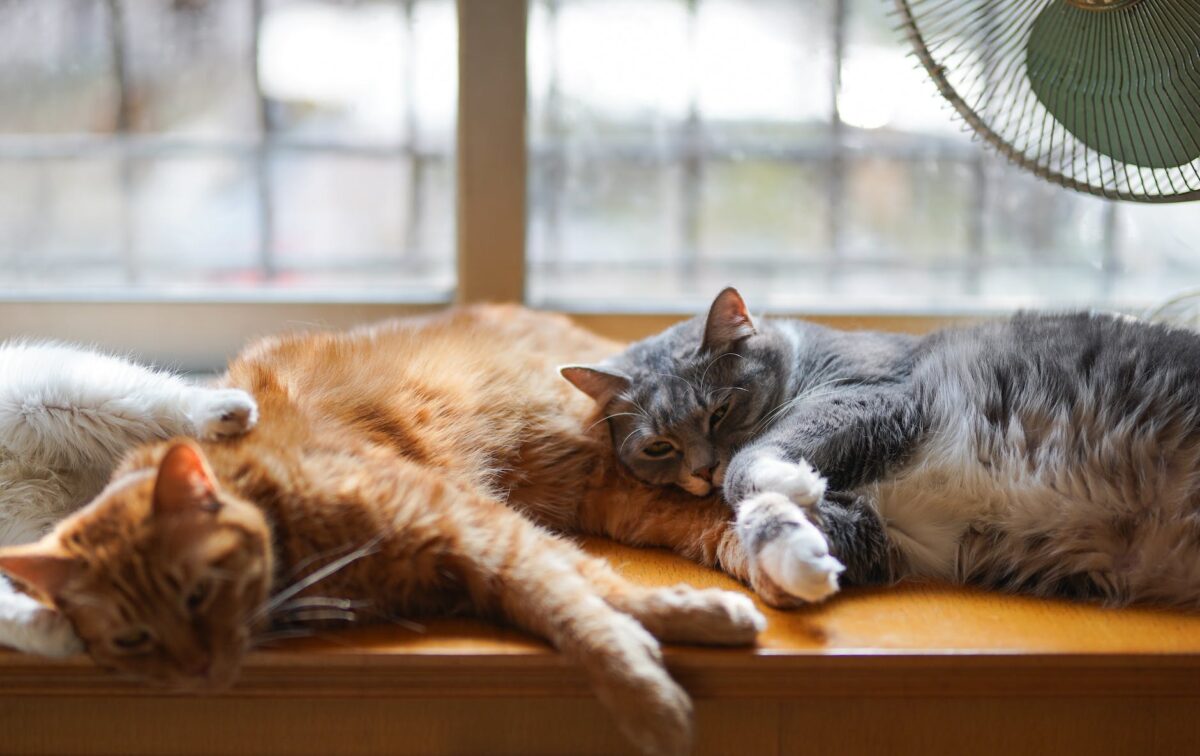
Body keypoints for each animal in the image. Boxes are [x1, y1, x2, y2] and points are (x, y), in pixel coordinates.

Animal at [561, 290, 1200, 609]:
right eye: (659, 446)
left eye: (720, 411)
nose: (701, 469)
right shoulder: (889, 533)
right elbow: (774, 521)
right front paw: (800, 559)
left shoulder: (873, 394)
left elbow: (751, 467)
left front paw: (785, 479)